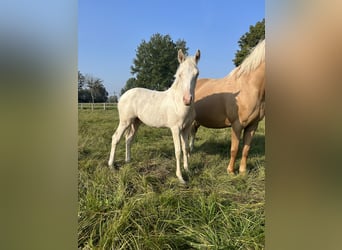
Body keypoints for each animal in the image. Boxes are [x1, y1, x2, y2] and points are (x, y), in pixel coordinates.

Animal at [109, 49, 200, 184]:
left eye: (197, 74)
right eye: (180, 74)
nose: (187, 99)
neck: (178, 103)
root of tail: (123, 95)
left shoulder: (186, 128)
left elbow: (186, 149)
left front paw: (188, 171)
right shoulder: (175, 129)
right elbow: (178, 151)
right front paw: (180, 178)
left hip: (136, 122)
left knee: (129, 139)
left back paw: (128, 161)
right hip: (125, 121)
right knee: (115, 138)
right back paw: (111, 165)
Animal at [190, 40, 264, 175]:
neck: (249, 87)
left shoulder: (253, 125)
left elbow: (246, 149)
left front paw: (242, 171)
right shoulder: (237, 124)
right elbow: (234, 148)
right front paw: (230, 171)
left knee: (193, 131)